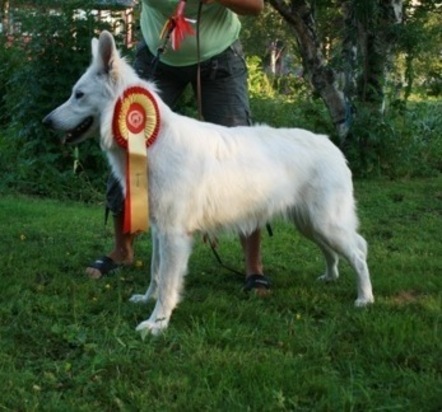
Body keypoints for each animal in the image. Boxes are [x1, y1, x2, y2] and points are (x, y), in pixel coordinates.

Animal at [43, 31, 372, 334]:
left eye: (79, 95)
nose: (46, 121)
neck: (152, 142)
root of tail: (330, 144)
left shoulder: (174, 234)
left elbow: (167, 283)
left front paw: (157, 323)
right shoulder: (159, 230)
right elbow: (155, 273)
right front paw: (147, 301)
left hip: (325, 223)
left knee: (359, 251)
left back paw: (365, 299)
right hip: (310, 224)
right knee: (332, 251)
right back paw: (330, 277)